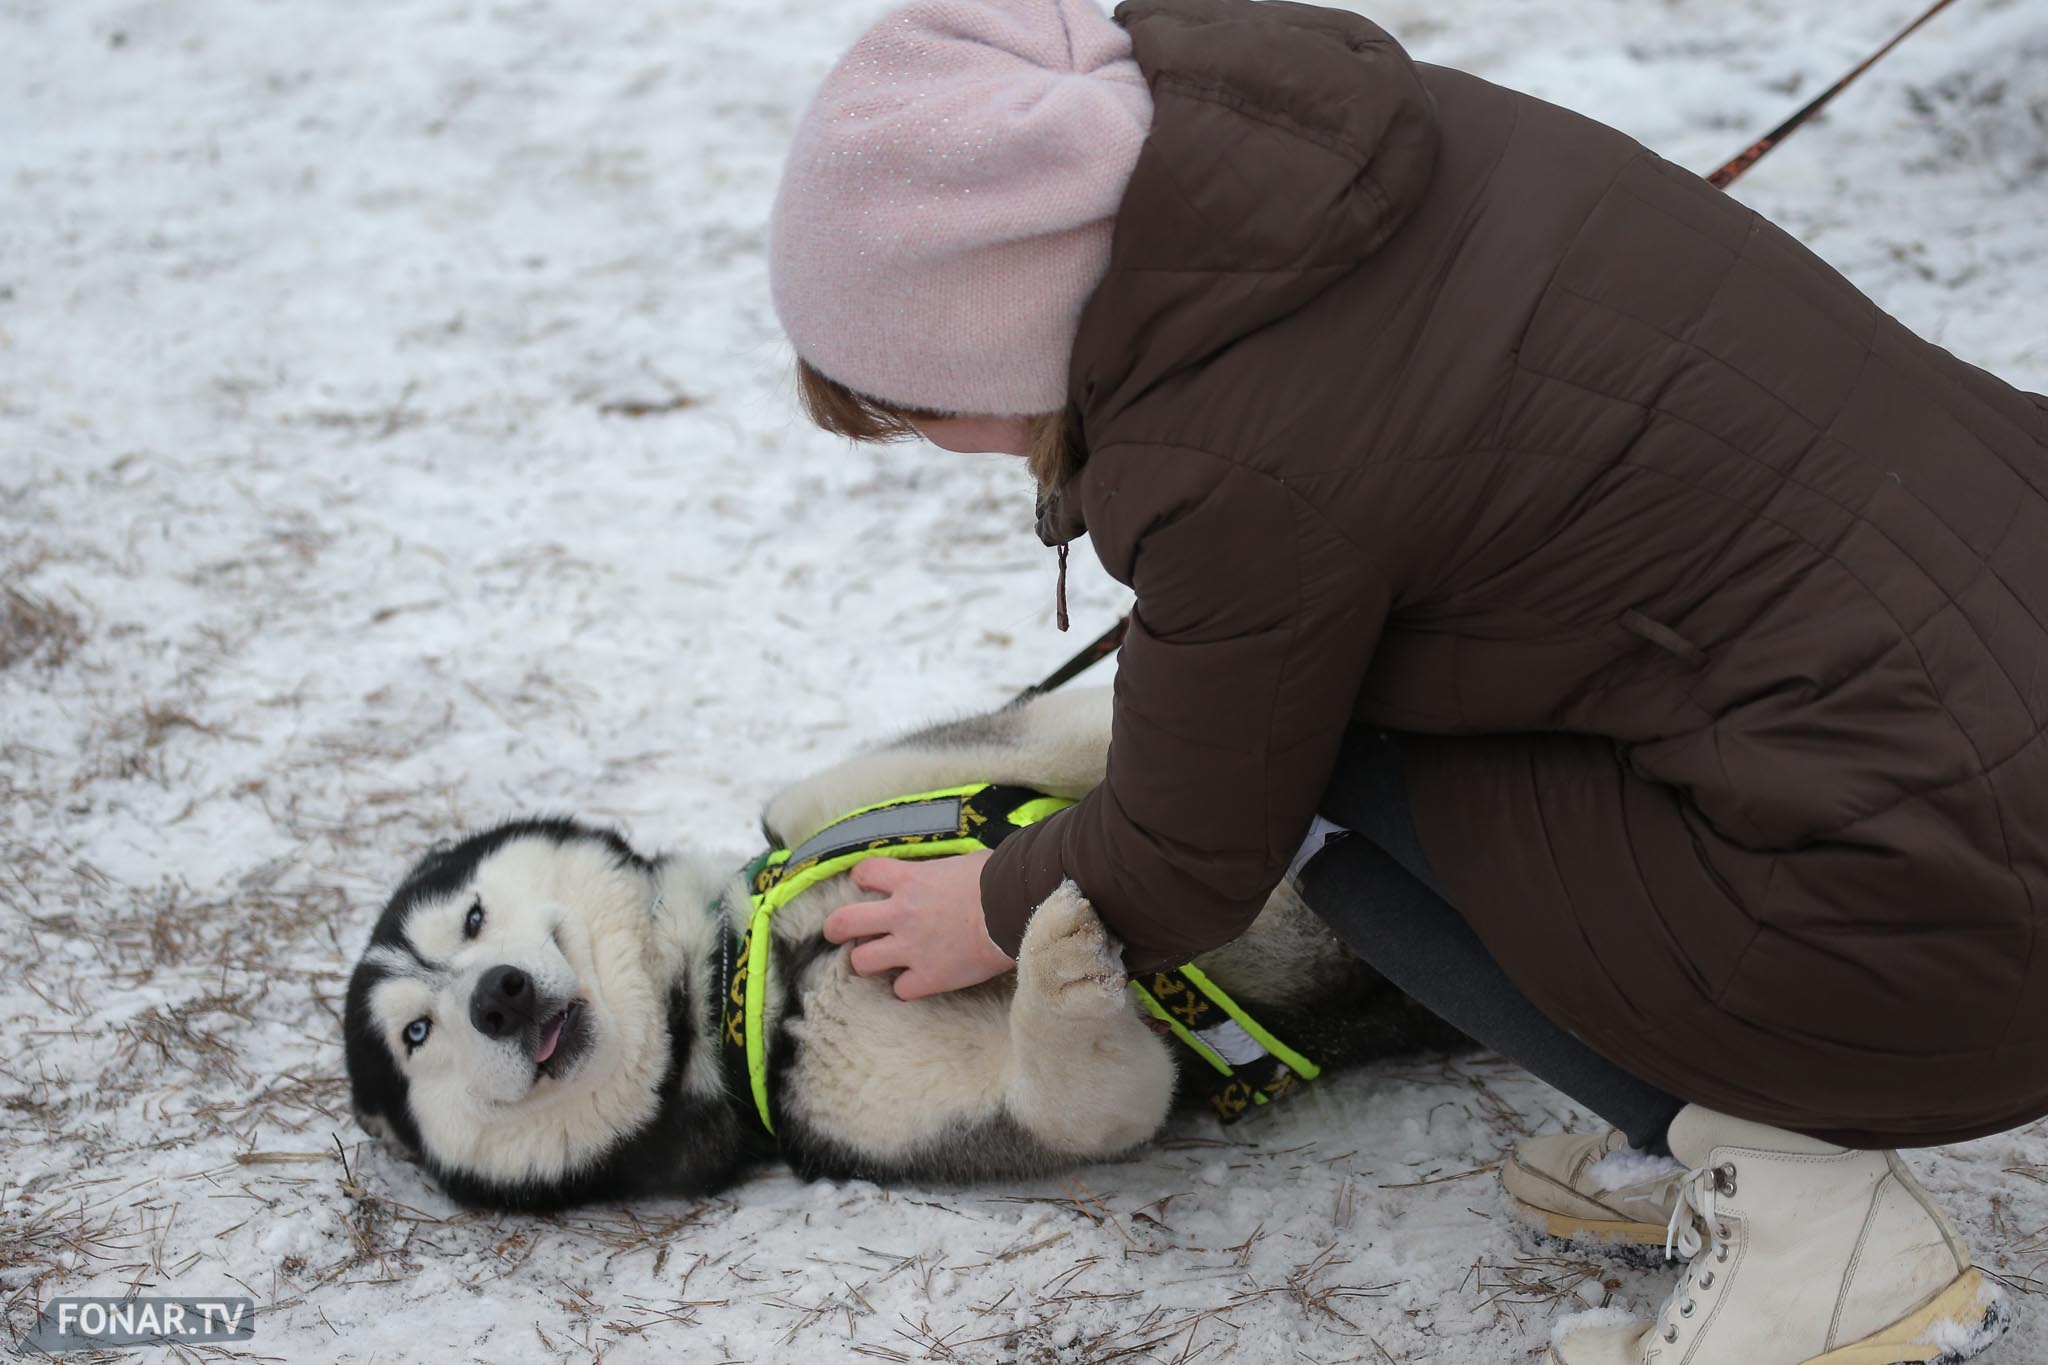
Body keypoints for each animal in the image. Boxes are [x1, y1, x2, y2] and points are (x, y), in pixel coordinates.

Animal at [344, 687, 1458, 1211]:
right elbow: (1092, 1096)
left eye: (471, 921)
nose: (494, 996)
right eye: (416, 1033)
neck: (749, 982)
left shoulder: (850, 799)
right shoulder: (876, 1120)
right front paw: (1060, 967)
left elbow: (1072, 729)